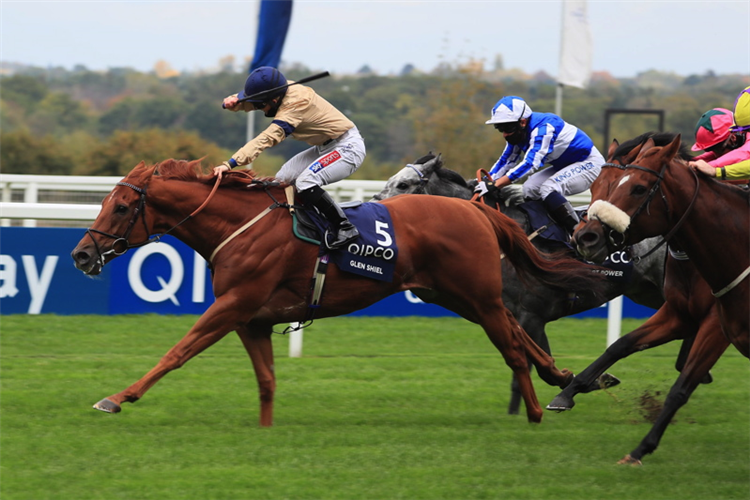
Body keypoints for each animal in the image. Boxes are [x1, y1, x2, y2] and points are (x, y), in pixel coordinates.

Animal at [72, 160, 612, 426]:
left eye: (122, 207)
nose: (80, 255)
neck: (240, 225)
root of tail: (478, 210)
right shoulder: (251, 318)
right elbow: (266, 381)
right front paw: (266, 431)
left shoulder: (233, 304)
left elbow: (176, 352)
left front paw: (116, 398)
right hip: (458, 297)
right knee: (522, 342)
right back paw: (567, 378)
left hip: (477, 296)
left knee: (514, 351)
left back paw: (539, 411)